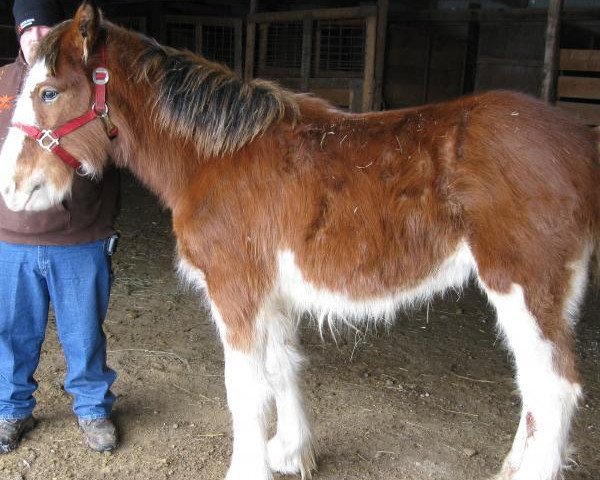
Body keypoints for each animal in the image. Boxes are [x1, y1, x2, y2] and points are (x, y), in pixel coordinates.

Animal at [1, 4, 600, 480]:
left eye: (49, 92)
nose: (11, 187)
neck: (217, 159)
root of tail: (576, 139)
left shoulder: (236, 292)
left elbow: (244, 389)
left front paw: (250, 469)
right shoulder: (272, 296)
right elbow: (282, 368)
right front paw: (289, 453)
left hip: (522, 288)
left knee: (555, 389)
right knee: (533, 387)